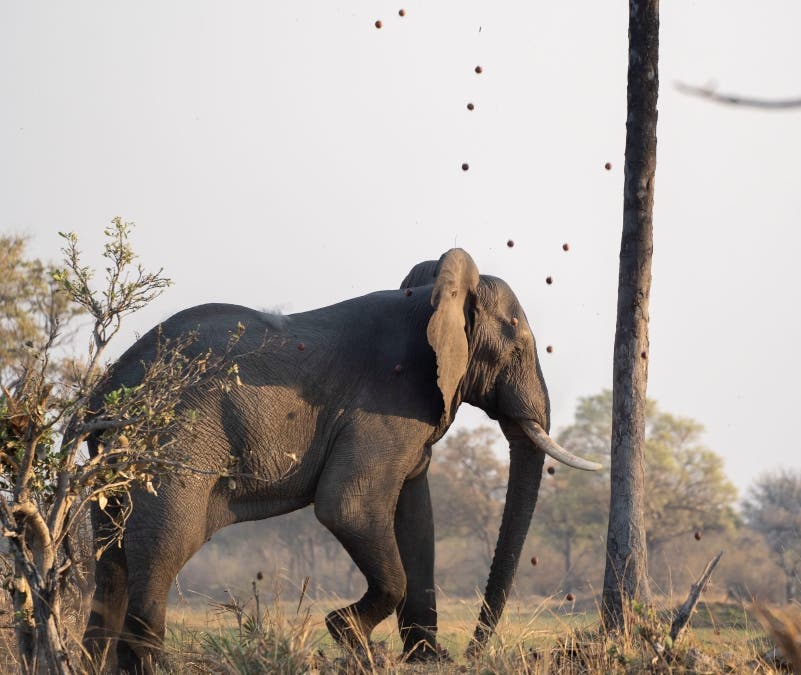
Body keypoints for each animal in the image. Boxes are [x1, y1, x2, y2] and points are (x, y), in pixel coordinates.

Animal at [82, 248, 600, 672]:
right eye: (517, 343)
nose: (474, 653)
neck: (435, 298)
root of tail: (104, 393)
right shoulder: (386, 402)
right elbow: (349, 507)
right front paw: (350, 637)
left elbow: (417, 517)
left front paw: (428, 660)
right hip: (173, 444)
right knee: (163, 548)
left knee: (111, 563)